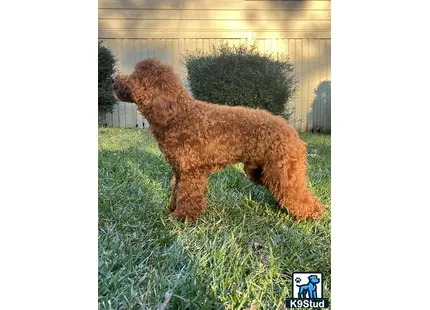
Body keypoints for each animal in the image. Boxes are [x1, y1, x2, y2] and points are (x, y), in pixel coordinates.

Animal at [112, 58, 324, 220]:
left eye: (135, 77)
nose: (114, 80)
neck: (178, 116)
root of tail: (292, 132)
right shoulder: (180, 171)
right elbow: (176, 192)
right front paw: (172, 210)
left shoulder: (192, 171)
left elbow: (187, 196)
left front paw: (181, 218)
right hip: (260, 171)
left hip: (282, 170)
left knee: (298, 195)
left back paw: (313, 214)